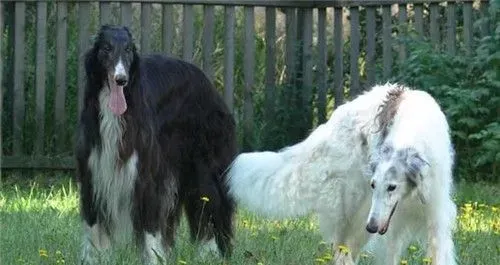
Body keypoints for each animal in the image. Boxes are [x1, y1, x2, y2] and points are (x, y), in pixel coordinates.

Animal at [75, 24, 236, 262]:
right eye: (106, 49)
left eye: (128, 50)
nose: (121, 79)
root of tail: (208, 83)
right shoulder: (93, 176)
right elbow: (94, 229)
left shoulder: (145, 178)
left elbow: (150, 228)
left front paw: (153, 259)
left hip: (204, 168)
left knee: (210, 209)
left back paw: (209, 256)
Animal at [227, 83, 458, 264]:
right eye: (374, 185)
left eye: (392, 187)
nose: (372, 227)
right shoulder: (390, 224)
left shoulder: (434, 215)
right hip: (352, 208)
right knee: (340, 248)